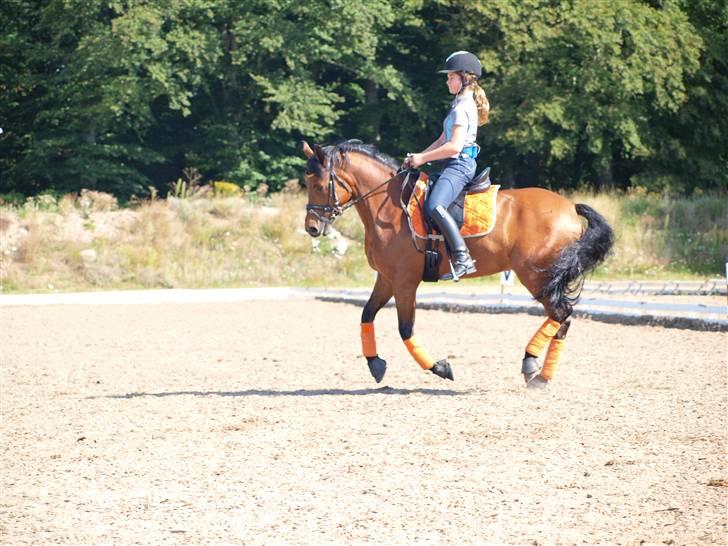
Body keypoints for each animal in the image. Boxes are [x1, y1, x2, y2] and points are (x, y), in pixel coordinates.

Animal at [302, 139, 614, 387]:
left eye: (319, 184)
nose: (312, 228)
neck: (388, 207)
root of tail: (570, 207)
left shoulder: (405, 282)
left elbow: (405, 329)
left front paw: (440, 368)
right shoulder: (387, 279)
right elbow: (366, 315)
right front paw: (375, 364)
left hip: (536, 275)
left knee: (562, 314)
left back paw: (532, 366)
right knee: (561, 318)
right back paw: (540, 374)